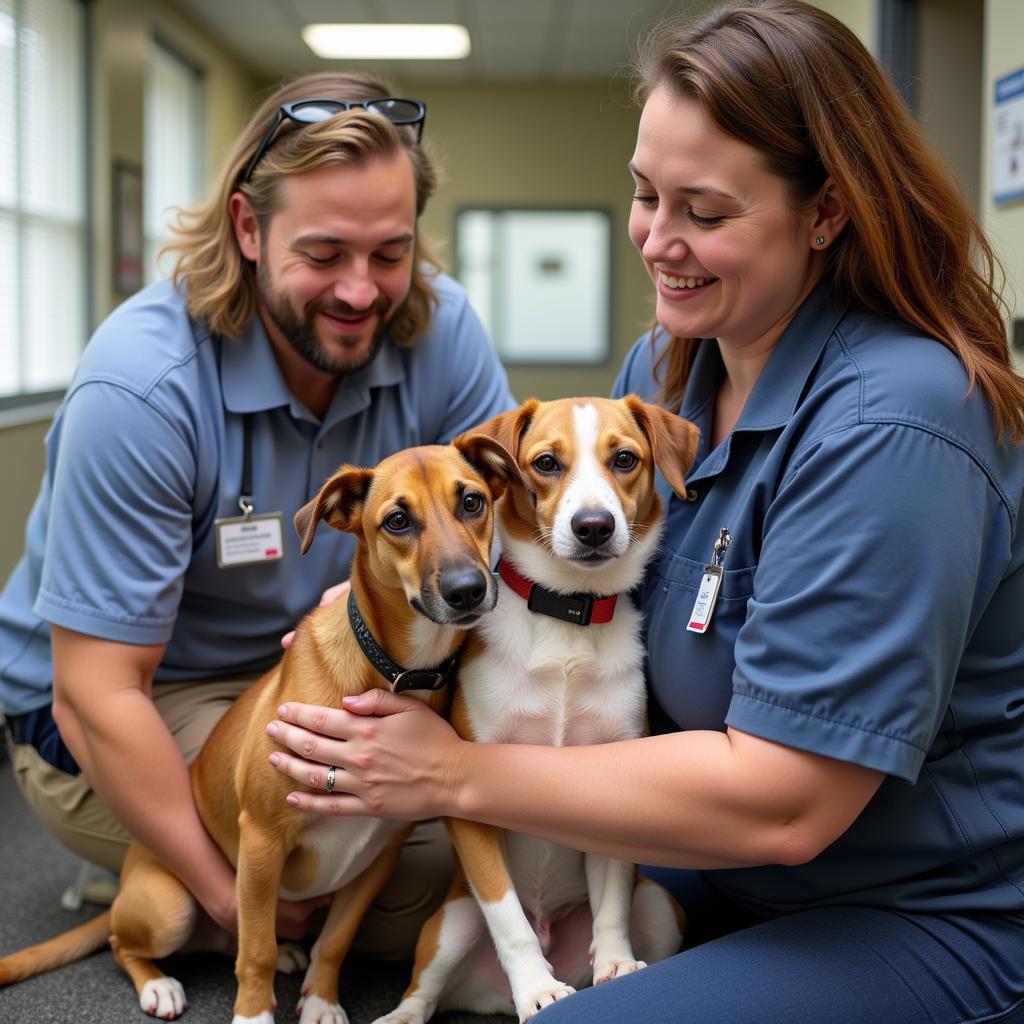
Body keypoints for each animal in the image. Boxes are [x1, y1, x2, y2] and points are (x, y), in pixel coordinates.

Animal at [378, 393, 704, 1024]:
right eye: (546, 463)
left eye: (624, 459)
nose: (594, 526)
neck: (567, 615)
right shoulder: (470, 799)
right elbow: (508, 917)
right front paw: (536, 987)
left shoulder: (616, 782)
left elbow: (611, 905)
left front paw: (616, 966)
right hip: (452, 923)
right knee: (424, 991)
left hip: (661, 907)